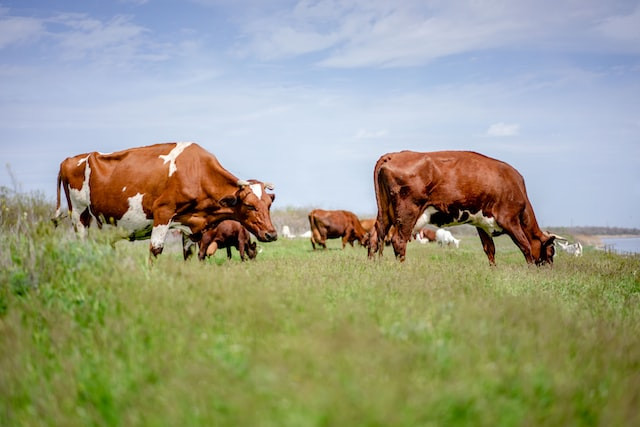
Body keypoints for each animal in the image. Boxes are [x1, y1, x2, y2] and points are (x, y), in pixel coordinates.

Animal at [54, 142, 277, 258]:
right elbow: (155, 250)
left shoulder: (190, 224)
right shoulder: (163, 212)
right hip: (79, 215)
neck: (197, 172)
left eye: (268, 205)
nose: (272, 234)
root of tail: (69, 159)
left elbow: (188, 253)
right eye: (249, 205)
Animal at [368, 150, 556, 266]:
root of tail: (394, 155)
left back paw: (373, 264)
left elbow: (490, 250)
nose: (548, 270)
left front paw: (493, 271)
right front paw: (530, 271)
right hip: (407, 212)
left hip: (385, 212)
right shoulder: (509, 219)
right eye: (551, 252)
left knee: (375, 236)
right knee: (398, 240)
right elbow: (525, 245)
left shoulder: (482, 224)